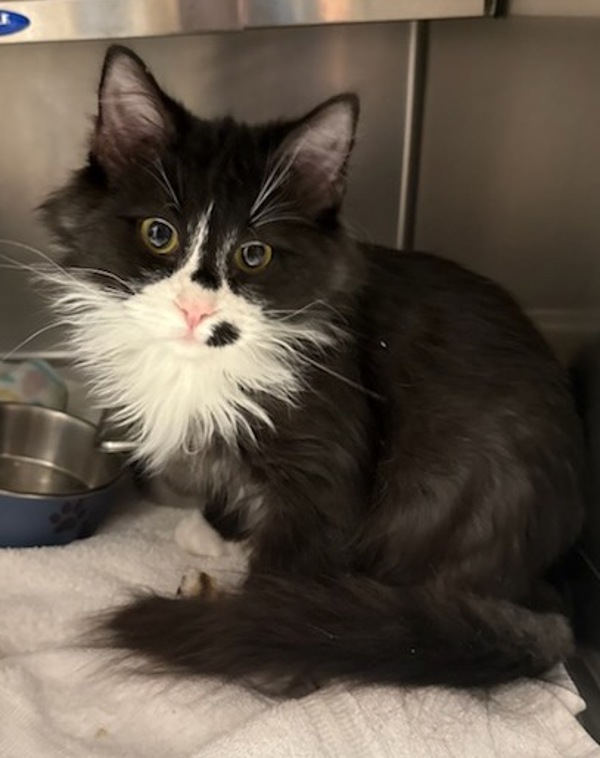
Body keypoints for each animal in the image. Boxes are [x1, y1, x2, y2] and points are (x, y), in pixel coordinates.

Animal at [42, 44, 584, 696]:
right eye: (159, 233)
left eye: (254, 255)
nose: (196, 309)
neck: (204, 367)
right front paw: (216, 531)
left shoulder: (322, 464)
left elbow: (293, 563)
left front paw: (265, 644)